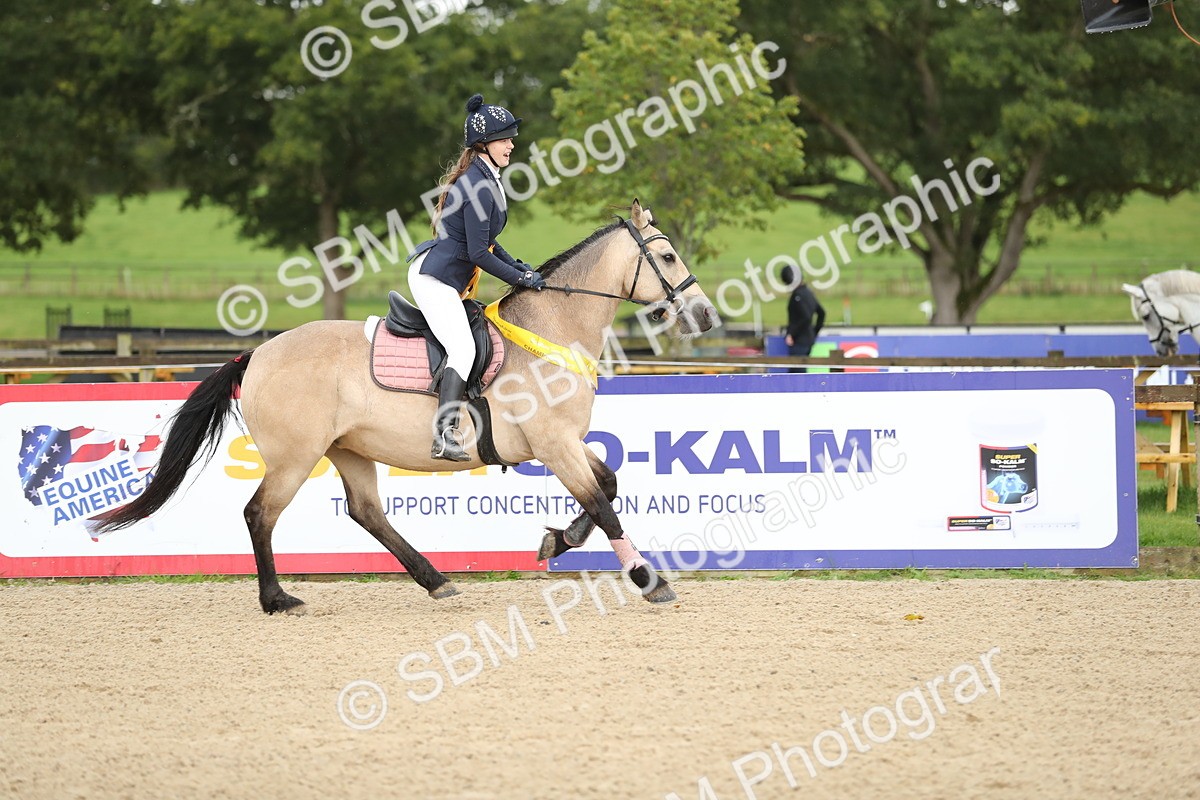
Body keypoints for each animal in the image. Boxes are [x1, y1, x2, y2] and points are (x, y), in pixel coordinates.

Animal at [95, 200, 720, 614]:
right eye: (667, 255)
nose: (706, 316)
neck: (550, 330)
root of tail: (260, 353)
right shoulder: (555, 445)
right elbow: (605, 504)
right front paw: (647, 579)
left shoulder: (566, 444)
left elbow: (608, 486)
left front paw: (556, 541)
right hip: (296, 457)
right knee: (260, 514)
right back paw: (277, 599)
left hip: (348, 450)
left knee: (368, 512)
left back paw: (435, 579)